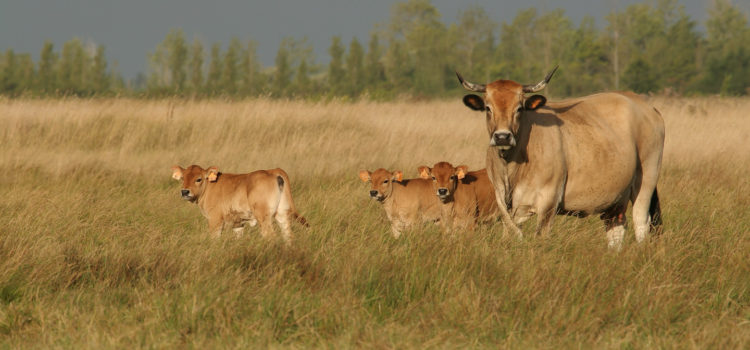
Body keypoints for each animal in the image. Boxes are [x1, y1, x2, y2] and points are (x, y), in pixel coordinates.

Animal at [172, 165, 306, 243]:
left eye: (198, 179)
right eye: (183, 178)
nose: (185, 191)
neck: (209, 187)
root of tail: (273, 171)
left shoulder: (215, 220)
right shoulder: (238, 223)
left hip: (264, 218)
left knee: (271, 236)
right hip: (282, 214)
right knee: (288, 236)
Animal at [458, 67, 664, 249]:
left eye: (519, 108)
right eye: (488, 108)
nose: (502, 136)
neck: (511, 168)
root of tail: (645, 105)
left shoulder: (549, 202)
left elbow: (540, 238)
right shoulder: (502, 201)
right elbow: (511, 234)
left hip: (647, 178)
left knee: (641, 222)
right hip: (616, 197)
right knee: (616, 228)